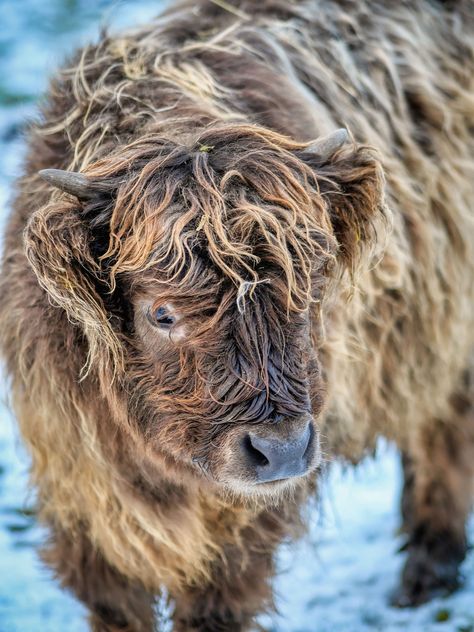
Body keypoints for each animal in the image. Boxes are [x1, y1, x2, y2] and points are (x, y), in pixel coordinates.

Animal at [0, 0, 474, 628]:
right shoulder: (83, 500)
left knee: (446, 431)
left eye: (313, 289)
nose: (282, 450)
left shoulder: (241, 528)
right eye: (162, 314)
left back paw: (425, 571)